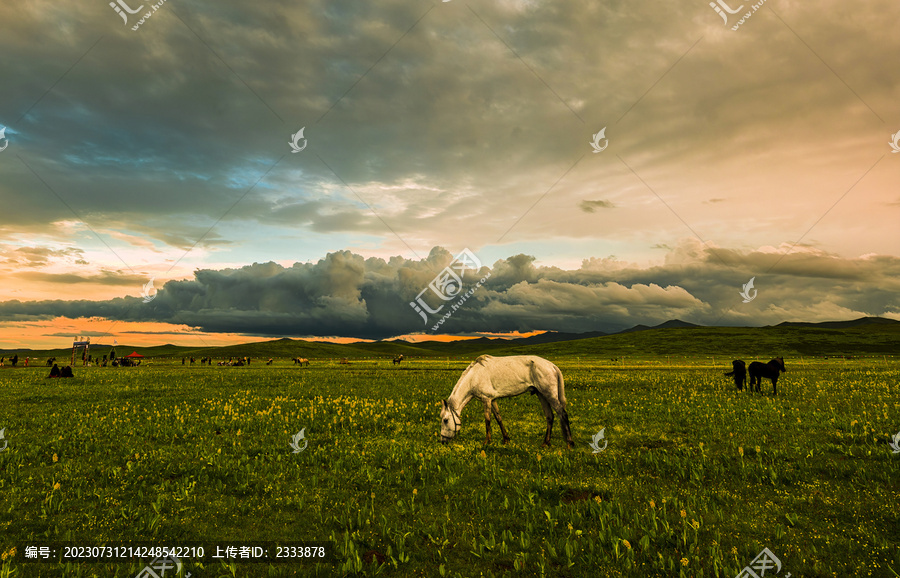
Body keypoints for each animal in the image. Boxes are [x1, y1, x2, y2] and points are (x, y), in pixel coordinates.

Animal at [440, 354, 572, 448]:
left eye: (445, 420)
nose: (443, 441)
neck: (474, 377)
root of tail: (552, 366)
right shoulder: (492, 400)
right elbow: (499, 418)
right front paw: (506, 440)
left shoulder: (486, 399)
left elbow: (487, 420)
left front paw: (487, 442)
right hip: (542, 395)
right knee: (550, 417)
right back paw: (546, 443)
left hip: (550, 395)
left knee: (562, 414)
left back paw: (570, 443)